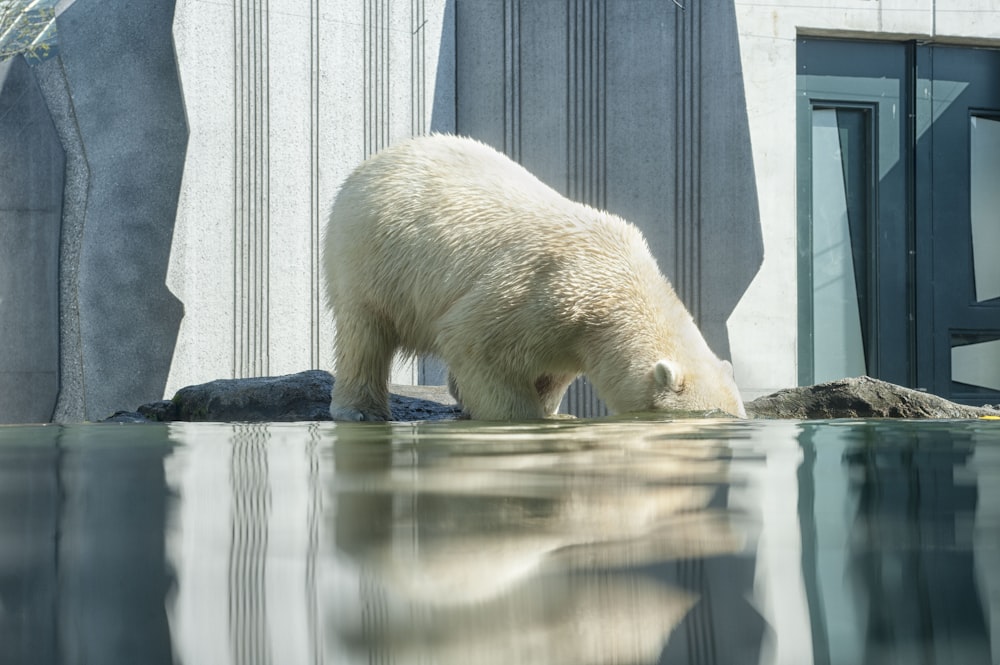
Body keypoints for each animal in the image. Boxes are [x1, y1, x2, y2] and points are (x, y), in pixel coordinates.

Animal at [324, 134, 748, 420]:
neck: (617, 286)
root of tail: (378, 158)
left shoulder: (570, 333)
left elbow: (552, 371)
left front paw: (548, 410)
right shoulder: (541, 290)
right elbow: (474, 342)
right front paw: (522, 417)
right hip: (373, 256)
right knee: (364, 332)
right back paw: (361, 410)